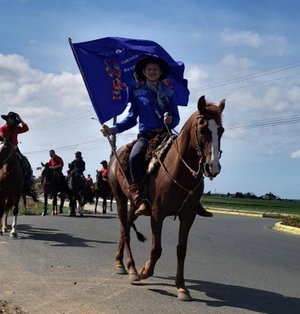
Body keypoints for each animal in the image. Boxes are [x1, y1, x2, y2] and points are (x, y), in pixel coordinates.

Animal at [108, 96, 225, 302]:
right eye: (203, 129)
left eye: (222, 130)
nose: (213, 167)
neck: (180, 170)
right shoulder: (157, 214)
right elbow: (157, 249)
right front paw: (145, 271)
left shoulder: (188, 216)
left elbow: (181, 249)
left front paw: (182, 288)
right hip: (120, 198)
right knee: (126, 230)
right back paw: (132, 269)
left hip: (135, 205)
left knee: (125, 227)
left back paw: (120, 263)